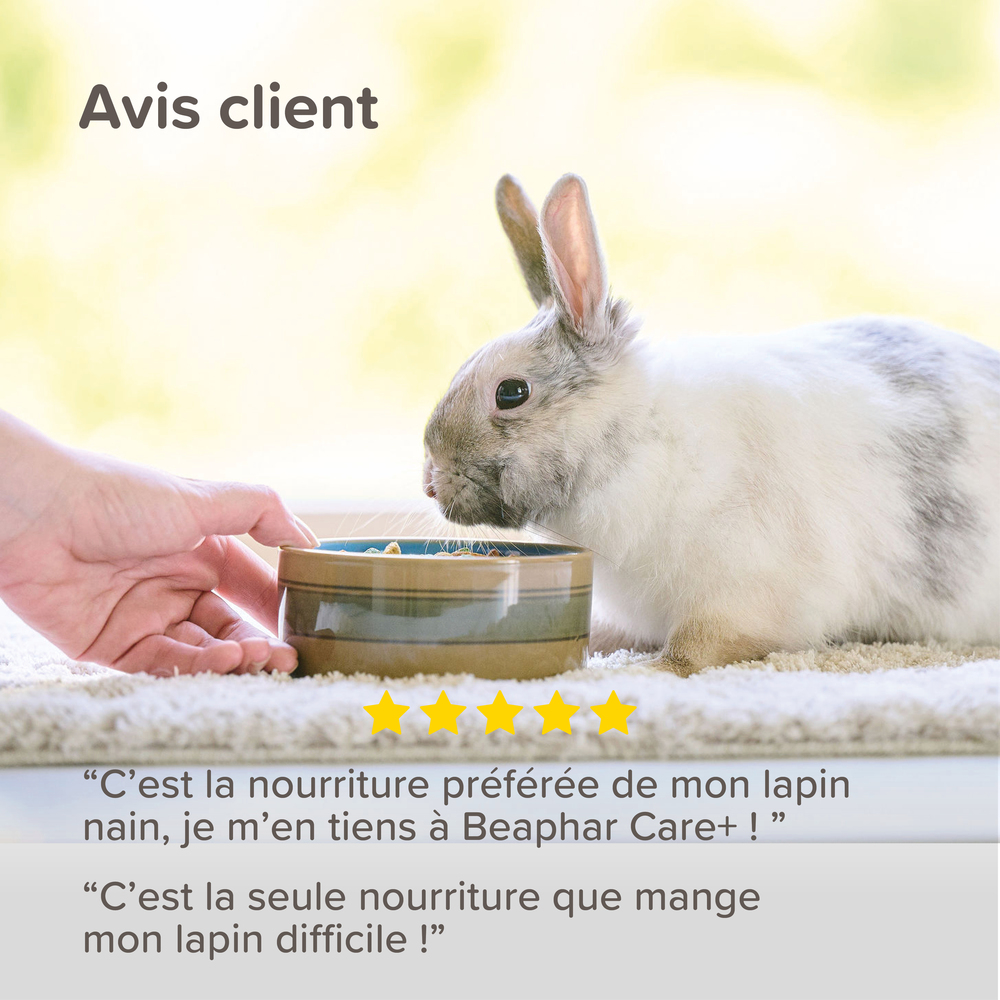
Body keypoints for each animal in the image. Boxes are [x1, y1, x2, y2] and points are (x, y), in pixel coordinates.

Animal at [422, 173, 1000, 675]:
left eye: (511, 393)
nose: (429, 483)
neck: (636, 442)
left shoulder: (743, 594)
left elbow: (695, 647)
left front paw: (647, 673)